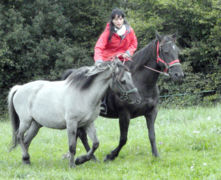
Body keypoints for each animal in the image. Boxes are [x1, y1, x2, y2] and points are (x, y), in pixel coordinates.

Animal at [61, 32, 183, 162]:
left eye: (177, 51)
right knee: (82, 134)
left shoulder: (151, 112)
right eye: (165, 51)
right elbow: (123, 139)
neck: (140, 82)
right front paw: (110, 156)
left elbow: (152, 135)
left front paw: (156, 155)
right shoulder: (124, 114)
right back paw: (90, 158)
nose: (178, 75)